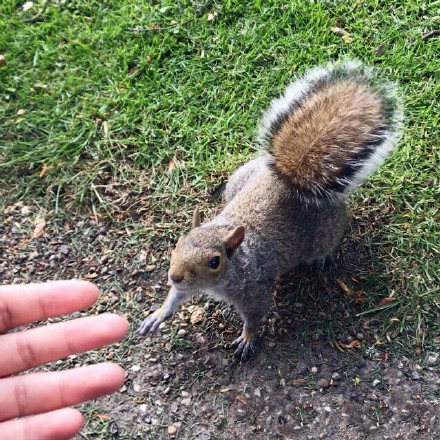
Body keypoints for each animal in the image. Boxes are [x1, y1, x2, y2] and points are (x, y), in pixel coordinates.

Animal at [137, 58, 402, 360]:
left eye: (214, 262)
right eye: (179, 243)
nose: (175, 275)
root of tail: (288, 181)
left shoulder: (254, 289)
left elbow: (255, 315)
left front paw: (247, 338)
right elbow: (178, 296)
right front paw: (159, 313)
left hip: (327, 232)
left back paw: (320, 259)